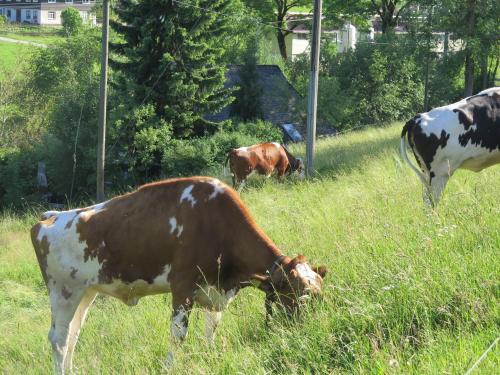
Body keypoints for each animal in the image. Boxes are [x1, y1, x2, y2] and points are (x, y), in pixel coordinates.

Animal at [32, 178, 328, 374]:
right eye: (300, 297)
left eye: (319, 297)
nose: (310, 333)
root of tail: (50, 217)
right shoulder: (183, 286)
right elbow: (178, 336)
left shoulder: (214, 290)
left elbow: (211, 328)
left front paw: (210, 356)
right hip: (63, 293)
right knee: (59, 340)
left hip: (86, 292)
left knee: (73, 335)